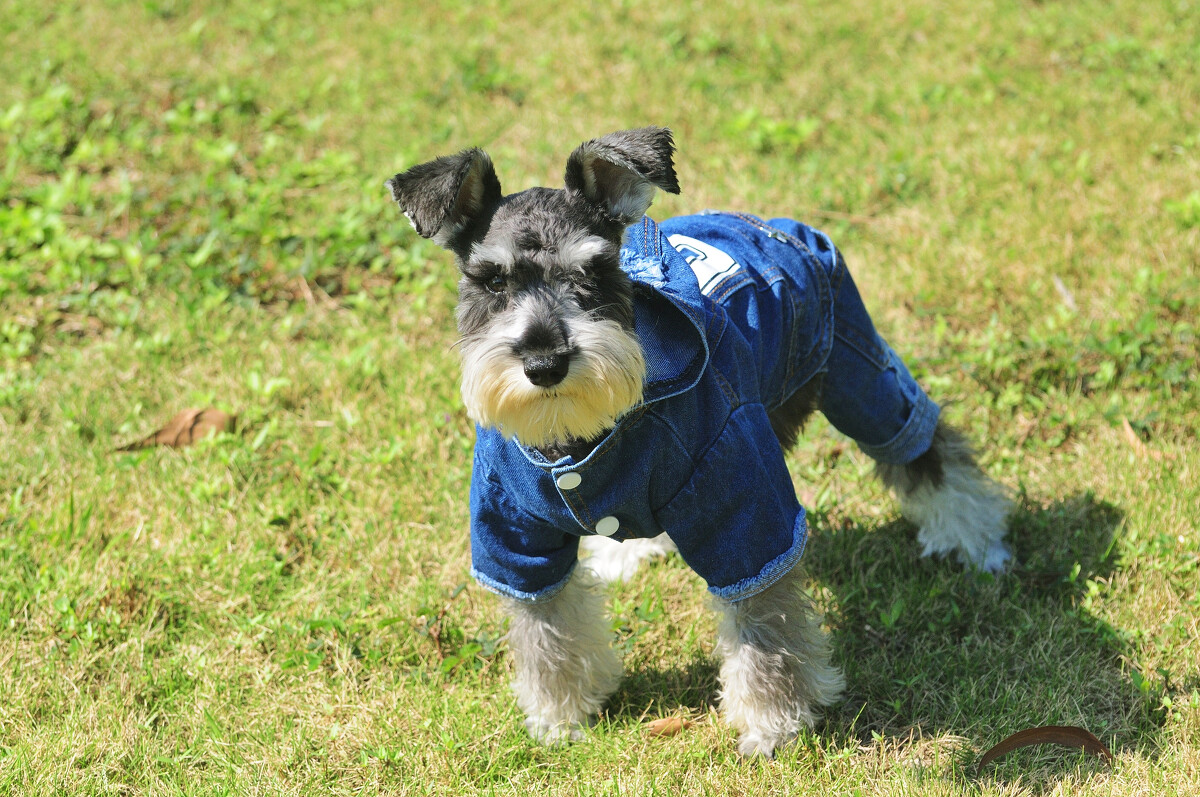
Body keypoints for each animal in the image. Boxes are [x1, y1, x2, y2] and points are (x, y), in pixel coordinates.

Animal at [386, 127, 1012, 758]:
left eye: (593, 272)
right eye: (491, 281)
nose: (545, 363)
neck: (579, 438)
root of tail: (765, 221)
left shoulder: (745, 519)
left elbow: (762, 626)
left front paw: (773, 723)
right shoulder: (517, 541)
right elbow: (547, 628)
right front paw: (558, 716)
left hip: (856, 371)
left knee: (924, 447)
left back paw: (977, 540)